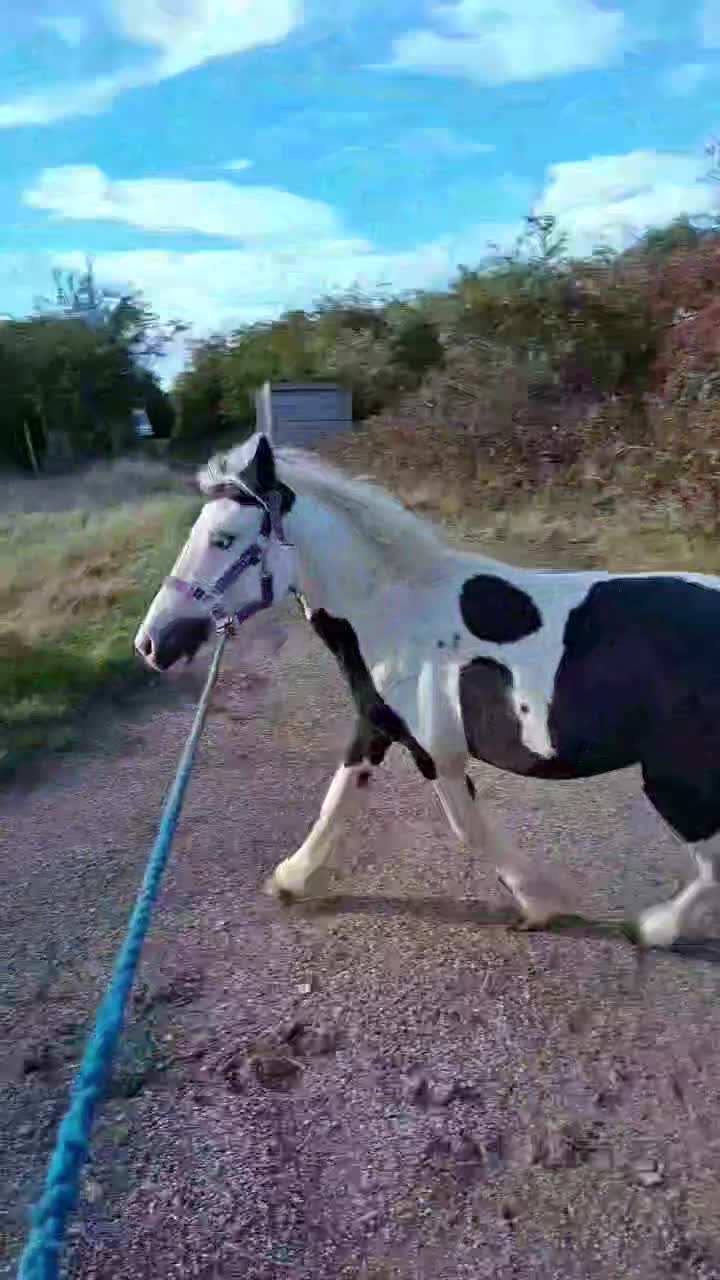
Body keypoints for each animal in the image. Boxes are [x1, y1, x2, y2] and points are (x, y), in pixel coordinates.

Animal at [135, 431, 720, 950]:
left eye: (224, 540)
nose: (150, 644)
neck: (398, 615)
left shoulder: (436, 755)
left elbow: (468, 830)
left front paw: (538, 905)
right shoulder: (375, 727)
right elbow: (337, 801)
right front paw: (289, 879)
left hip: (674, 779)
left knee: (712, 862)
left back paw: (656, 929)